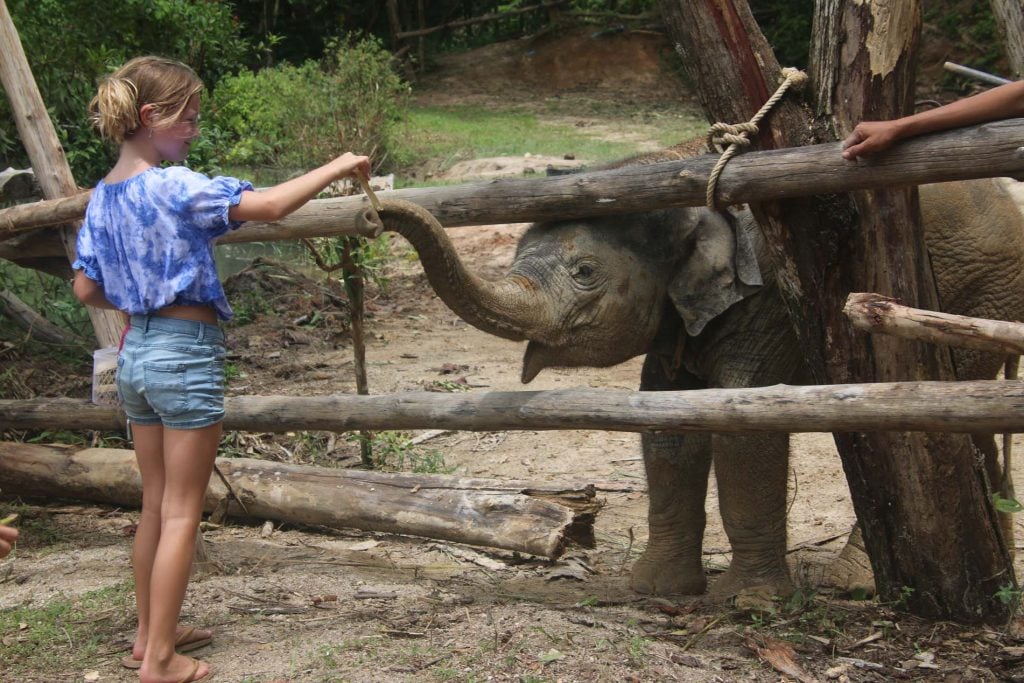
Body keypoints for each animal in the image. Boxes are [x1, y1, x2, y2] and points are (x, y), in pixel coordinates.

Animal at [364, 174, 1024, 602]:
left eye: (584, 273)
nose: (371, 211)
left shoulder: (768, 303)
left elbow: (740, 424)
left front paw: (750, 605)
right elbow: (667, 424)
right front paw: (655, 592)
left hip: (976, 294)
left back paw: (857, 584)